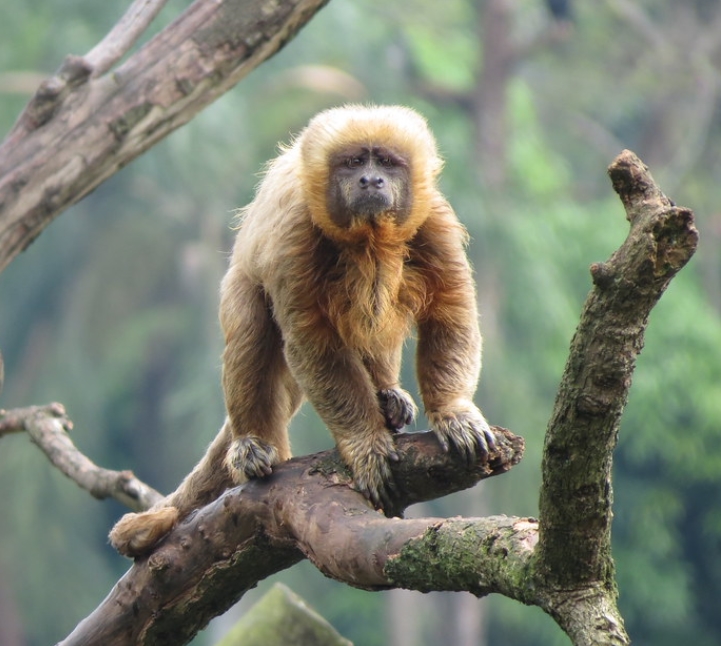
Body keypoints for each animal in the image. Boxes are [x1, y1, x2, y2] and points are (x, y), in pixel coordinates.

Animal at [109, 104, 495, 557]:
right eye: (353, 163)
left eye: (385, 162)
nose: (370, 180)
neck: (368, 237)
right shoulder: (296, 235)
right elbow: (310, 340)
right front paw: (364, 442)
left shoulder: (434, 222)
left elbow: (450, 312)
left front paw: (453, 412)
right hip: (240, 281)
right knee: (251, 330)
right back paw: (252, 445)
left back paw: (386, 392)